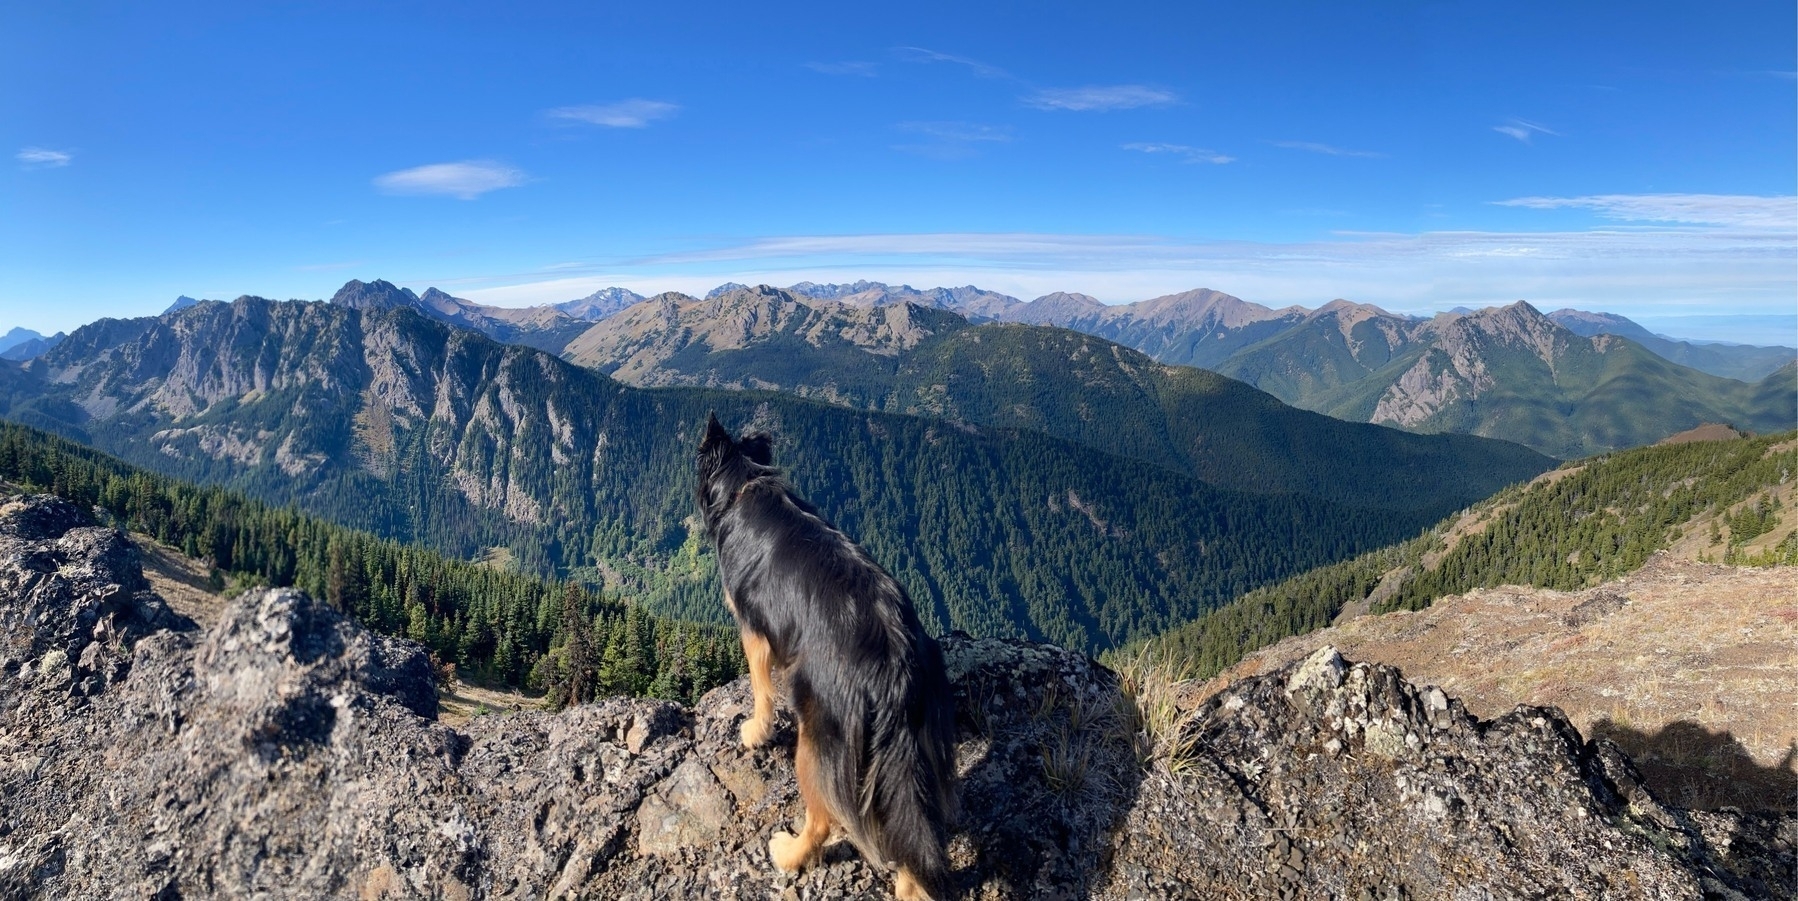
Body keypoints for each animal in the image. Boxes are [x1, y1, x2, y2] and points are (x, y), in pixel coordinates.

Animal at [694, 413, 963, 899]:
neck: (745, 483)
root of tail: (894, 665)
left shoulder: (754, 631)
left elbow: (760, 689)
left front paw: (755, 731)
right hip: (920, 744)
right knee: (914, 825)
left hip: (818, 735)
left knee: (824, 819)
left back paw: (789, 854)